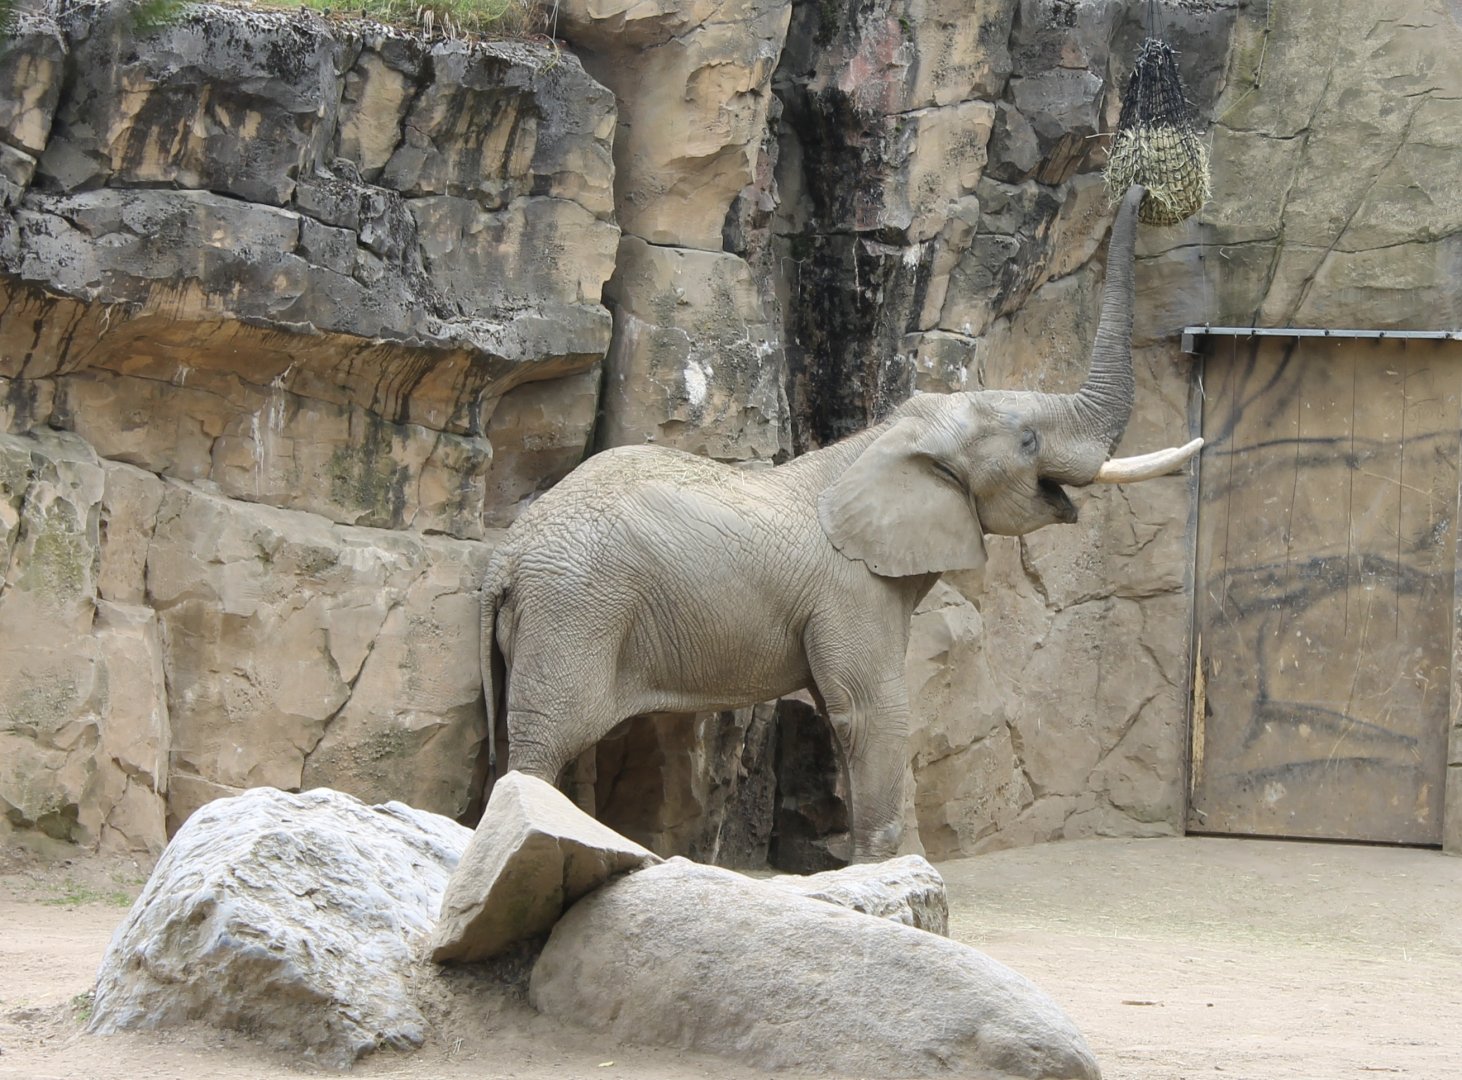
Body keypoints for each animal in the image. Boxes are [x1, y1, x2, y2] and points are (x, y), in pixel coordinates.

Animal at [478, 185, 1200, 860]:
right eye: (1027, 440)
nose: (1144, 191)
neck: (885, 437)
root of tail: (505, 556)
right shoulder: (850, 590)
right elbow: (872, 714)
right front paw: (882, 870)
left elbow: (842, 714)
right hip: (577, 610)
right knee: (547, 741)